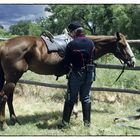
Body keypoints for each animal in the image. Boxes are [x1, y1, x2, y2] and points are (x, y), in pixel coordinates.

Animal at [0, 32, 136, 130]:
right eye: (123, 45)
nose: (133, 62)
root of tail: (5, 44)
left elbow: (73, 96)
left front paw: (74, 113)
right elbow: (74, 96)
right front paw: (74, 114)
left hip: (12, 78)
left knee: (10, 97)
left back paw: (15, 121)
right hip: (13, 78)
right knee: (4, 97)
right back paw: (4, 125)